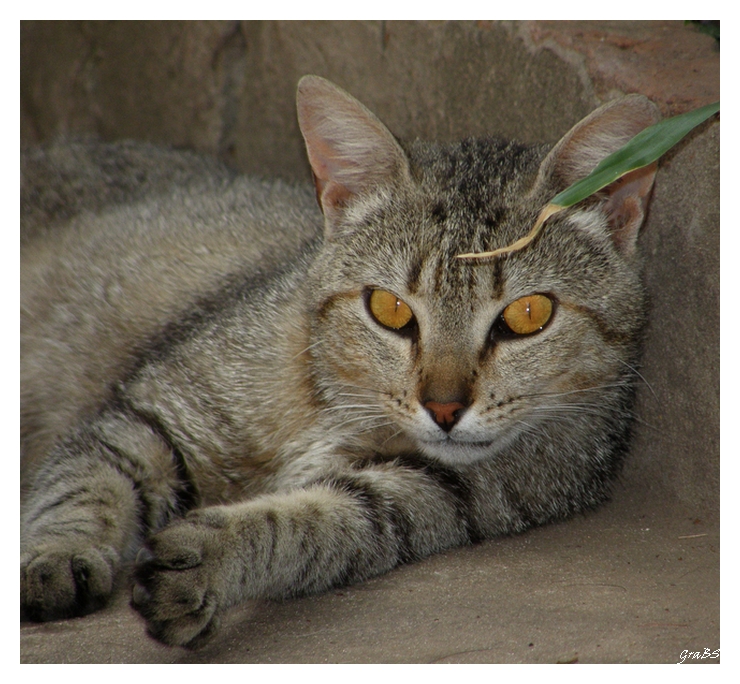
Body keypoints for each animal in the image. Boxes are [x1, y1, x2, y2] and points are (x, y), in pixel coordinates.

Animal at [20, 75, 660, 648]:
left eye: (528, 314)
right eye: (389, 308)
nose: (444, 408)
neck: (335, 395)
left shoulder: (423, 495)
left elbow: (306, 524)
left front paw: (216, 558)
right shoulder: (152, 412)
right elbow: (86, 484)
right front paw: (56, 556)